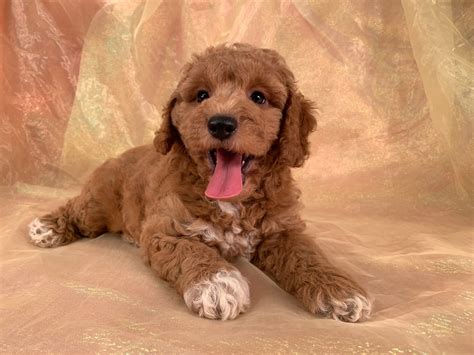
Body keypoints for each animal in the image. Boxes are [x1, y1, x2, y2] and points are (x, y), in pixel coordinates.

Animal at [29, 43, 372, 322]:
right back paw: (46, 227)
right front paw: (217, 284)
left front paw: (340, 291)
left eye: (258, 97)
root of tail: (119, 155)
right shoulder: (166, 231)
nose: (220, 123)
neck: (232, 201)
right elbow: (191, 250)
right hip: (100, 203)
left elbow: (306, 255)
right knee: (78, 209)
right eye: (202, 95)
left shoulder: (281, 230)